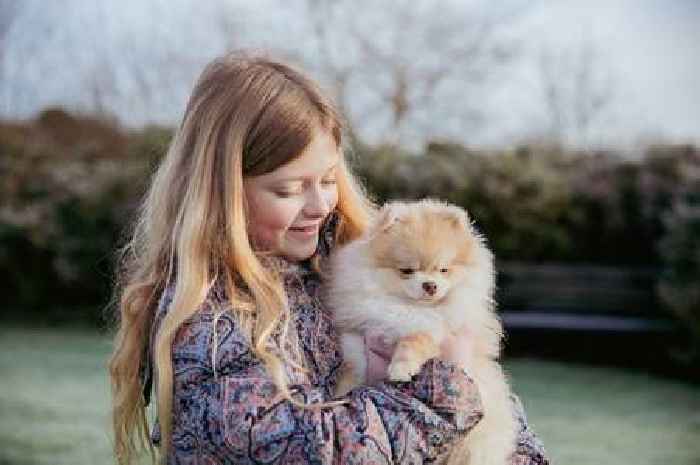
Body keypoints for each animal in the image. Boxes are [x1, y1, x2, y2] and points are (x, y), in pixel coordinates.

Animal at [322, 198, 516, 464]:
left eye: (443, 270)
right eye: (406, 270)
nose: (430, 285)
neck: (409, 307)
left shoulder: (436, 328)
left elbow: (416, 338)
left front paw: (401, 367)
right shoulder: (357, 345)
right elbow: (350, 377)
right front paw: (339, 395)